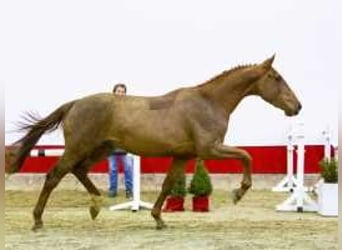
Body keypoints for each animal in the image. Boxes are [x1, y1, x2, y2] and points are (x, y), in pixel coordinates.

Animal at [8, 54, 300, 230]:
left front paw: (158, 218)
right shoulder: (209, 149)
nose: (297, 106)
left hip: (101, 149)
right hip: (79, 147)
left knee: (79, 170)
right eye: (276, 78)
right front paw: (239, 192)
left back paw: (95, 206)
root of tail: (74, 104)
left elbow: (168, 184)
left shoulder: (184, 155)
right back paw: (38, 220)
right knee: (54, 175)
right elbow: (246, 155)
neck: (208, 102)